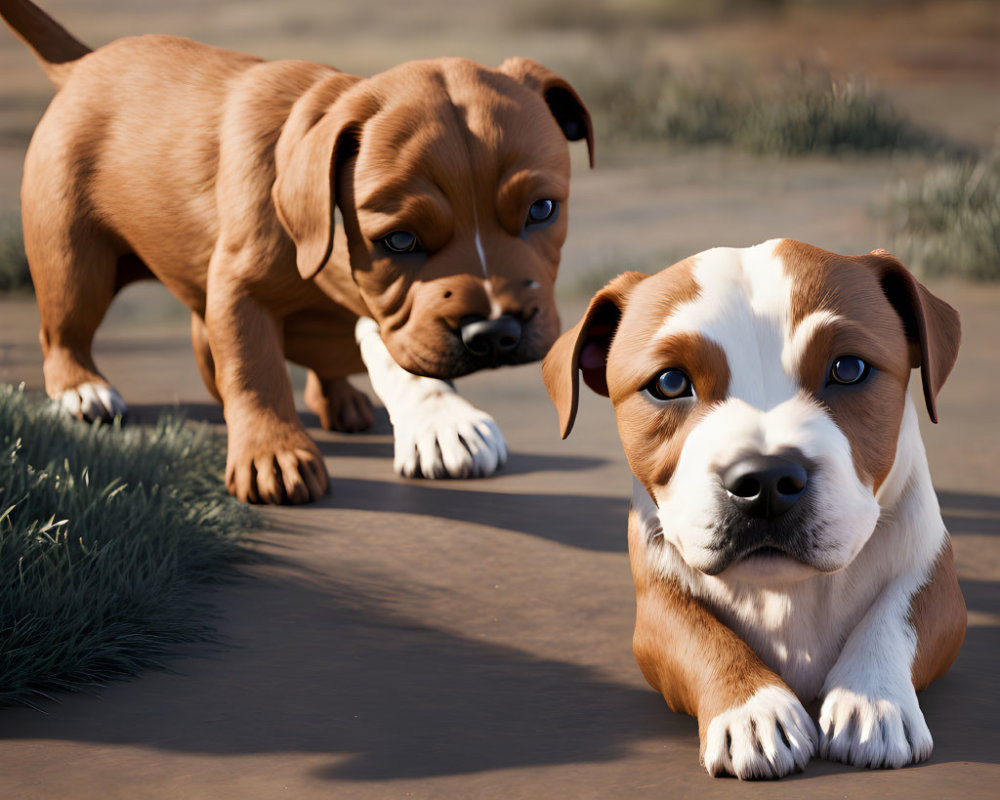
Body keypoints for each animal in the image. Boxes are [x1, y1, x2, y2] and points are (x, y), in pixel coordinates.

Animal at [1, 0, 592, 500]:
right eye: (398, 240)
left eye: (543, 210)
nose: (494, 333)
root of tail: (84, 63)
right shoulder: (241, 291)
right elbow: (254, 368)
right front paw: (273, 456)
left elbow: (388, 354)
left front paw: (442, 423)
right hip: (74, 257)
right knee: (67, 325)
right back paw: (83, 390)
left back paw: (342, 400)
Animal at [544, 241, 964, 780]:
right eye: (669, 382)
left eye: (849, 369)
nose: (766, 481)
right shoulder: (655, 607)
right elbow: (698, 634)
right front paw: (753, 709)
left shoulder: (936, 580)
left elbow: (896, 615)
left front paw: (871, 699)